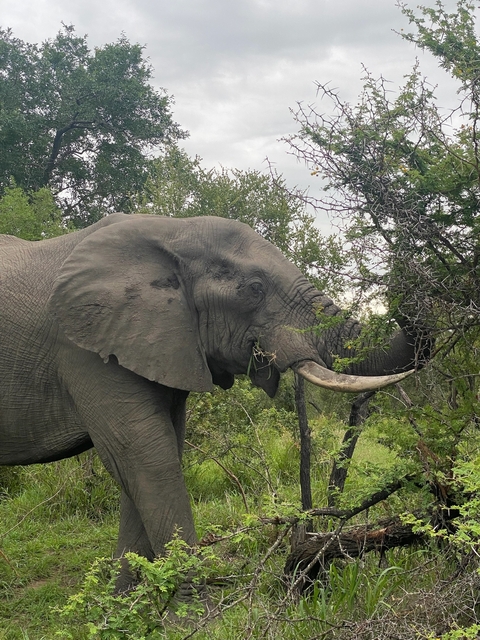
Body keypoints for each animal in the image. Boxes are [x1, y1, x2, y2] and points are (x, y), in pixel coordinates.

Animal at [0, 213, 429, 589]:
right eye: (254, 288)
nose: (403, 269)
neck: (171, 230)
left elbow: (157, 454)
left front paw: (125, 605)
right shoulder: (84, 348)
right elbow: (145, 456)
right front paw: (186, 617)